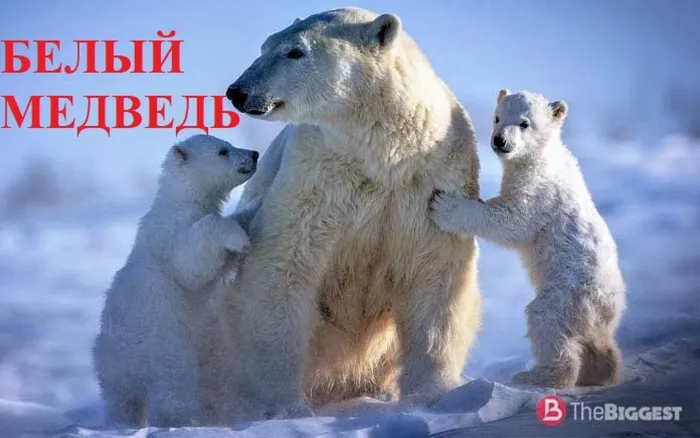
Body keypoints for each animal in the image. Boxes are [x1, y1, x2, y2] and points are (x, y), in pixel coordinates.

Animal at [92, 134, 259, 427]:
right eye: (223, 150)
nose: (254, 154)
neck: (181, 201)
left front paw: (252, 212)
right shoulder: (171, 236)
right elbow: (191, 261)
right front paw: (240, 239)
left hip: (113, 365)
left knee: (123, 400)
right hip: (165, 345)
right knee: (173, 386)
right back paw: (176, 420)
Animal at [220, 8, 482, 421]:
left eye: (295, 51)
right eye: (265, 45)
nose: (238, 91)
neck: (381, 154)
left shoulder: (430, 182)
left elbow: (434, 273)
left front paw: (433, 396)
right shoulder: (318, 179)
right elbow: (284, 267)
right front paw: (285, 407)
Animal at [430, 89, 626, 389]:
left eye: (524, 123)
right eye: (497, 117)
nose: (499, 140)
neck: (542, 156)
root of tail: (611, 306)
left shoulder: (539, 190)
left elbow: (514, 221)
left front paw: (445, 206)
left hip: (568, 292)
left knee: (546, 321)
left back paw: (536, 375)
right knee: (598, 343)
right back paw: (602, 371)